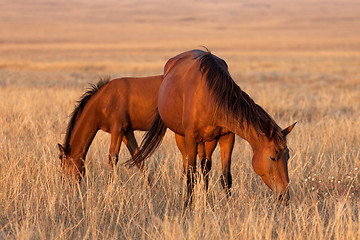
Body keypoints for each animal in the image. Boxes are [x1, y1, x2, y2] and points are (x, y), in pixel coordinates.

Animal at [57, 75, 235, 188]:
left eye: (65, 164)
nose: (65, 185)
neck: (104, 100)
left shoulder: (117, 130)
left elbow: (112, 158)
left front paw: (111, 186)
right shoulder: (126, 132)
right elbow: (138, 159)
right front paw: (151, 187)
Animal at [128, 49, 296, 205]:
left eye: (287, 156)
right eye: (272, 157)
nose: (284, 196)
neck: (210, 97)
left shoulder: (227, 137)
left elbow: (225, 176)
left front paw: (228, 206)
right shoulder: (190, 139)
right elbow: (191, 174)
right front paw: (187, 207)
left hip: (209, 141)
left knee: (205, 168)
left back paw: (207, 199)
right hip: (181, 137)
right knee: (188, 168)